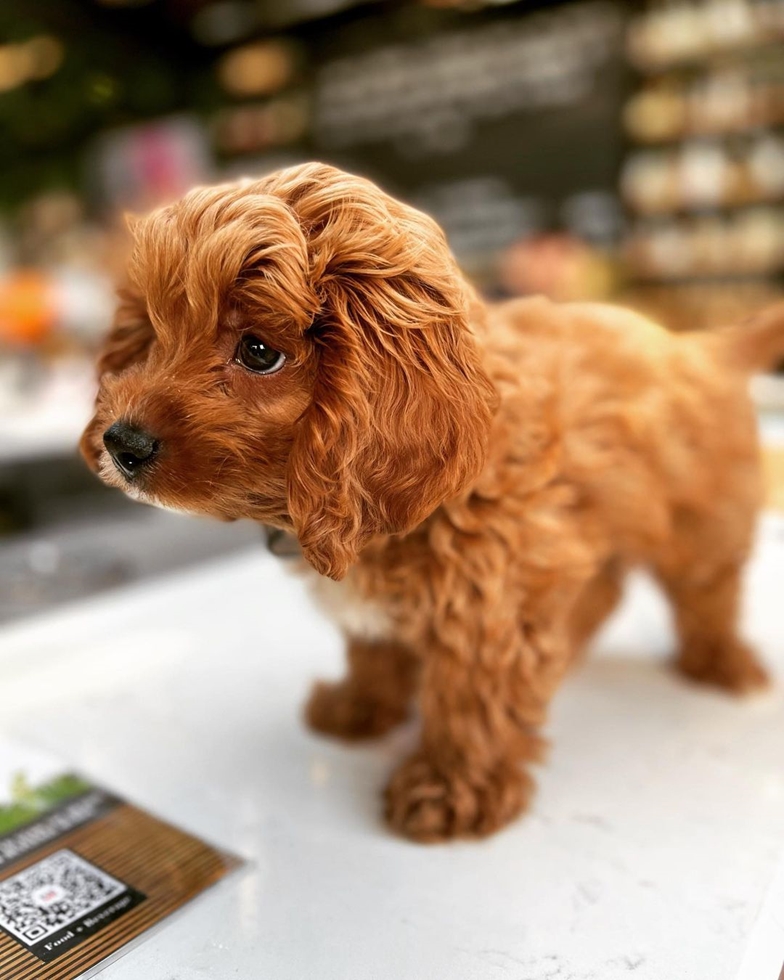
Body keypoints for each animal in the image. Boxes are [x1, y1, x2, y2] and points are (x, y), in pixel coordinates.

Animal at [82, 161, 784, 844]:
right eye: (155, 334)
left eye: (259, 351)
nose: (121, 442)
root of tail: (703, 347)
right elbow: (374, 649)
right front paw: (361, 708)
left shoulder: (490, 607)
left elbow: (472, 704)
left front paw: (452, 791)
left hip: (703, 526)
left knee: (709, 592)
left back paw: (721, 662)